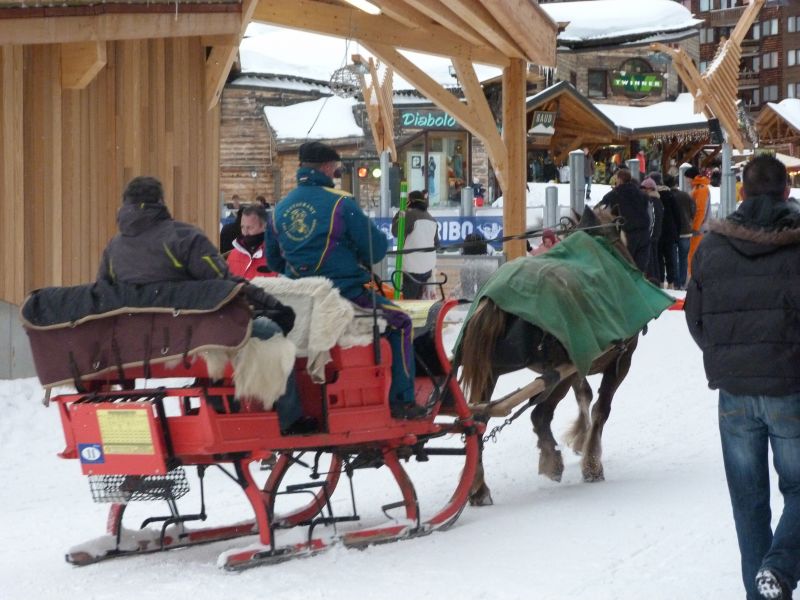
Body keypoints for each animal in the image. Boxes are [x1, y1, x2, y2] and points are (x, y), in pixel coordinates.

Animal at [460, 207, 640, 506]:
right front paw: (592, 463)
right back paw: (551, 461)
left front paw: (580, 438)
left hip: (492, 372)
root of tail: (495, 303)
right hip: (554, 374)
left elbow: (585, 397)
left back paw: (479, 489)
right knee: (539, 415)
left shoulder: (580, 360)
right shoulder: (619, 362)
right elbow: (600, 409)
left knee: (478, 422)